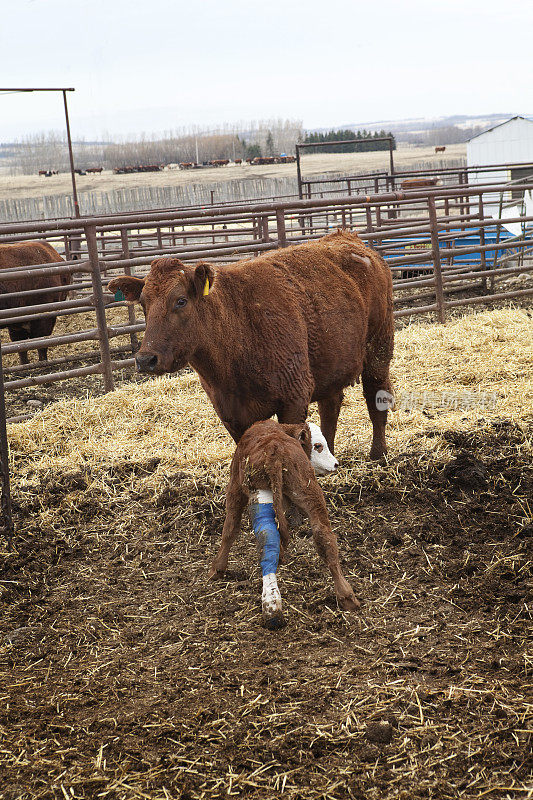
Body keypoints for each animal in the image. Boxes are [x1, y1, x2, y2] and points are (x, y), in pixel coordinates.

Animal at [108, 228, 392, 460]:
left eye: (180, 300)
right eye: (143, 303)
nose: (145, 359)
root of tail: (350, 240)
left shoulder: (295, 398)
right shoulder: (231, 414)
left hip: (379, 348)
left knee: (376, 396)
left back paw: (378, 454)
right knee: (330, 407)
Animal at [207, 418, 358, 632]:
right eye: (318, 446)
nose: (336, 464)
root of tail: (275, 450)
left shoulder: (235, 485)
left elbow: (230, 529)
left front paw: (217, 569)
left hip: (259, 489)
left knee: (265, 538)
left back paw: (271, 606)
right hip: (308, 490)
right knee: (323, 537)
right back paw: (346, 596)